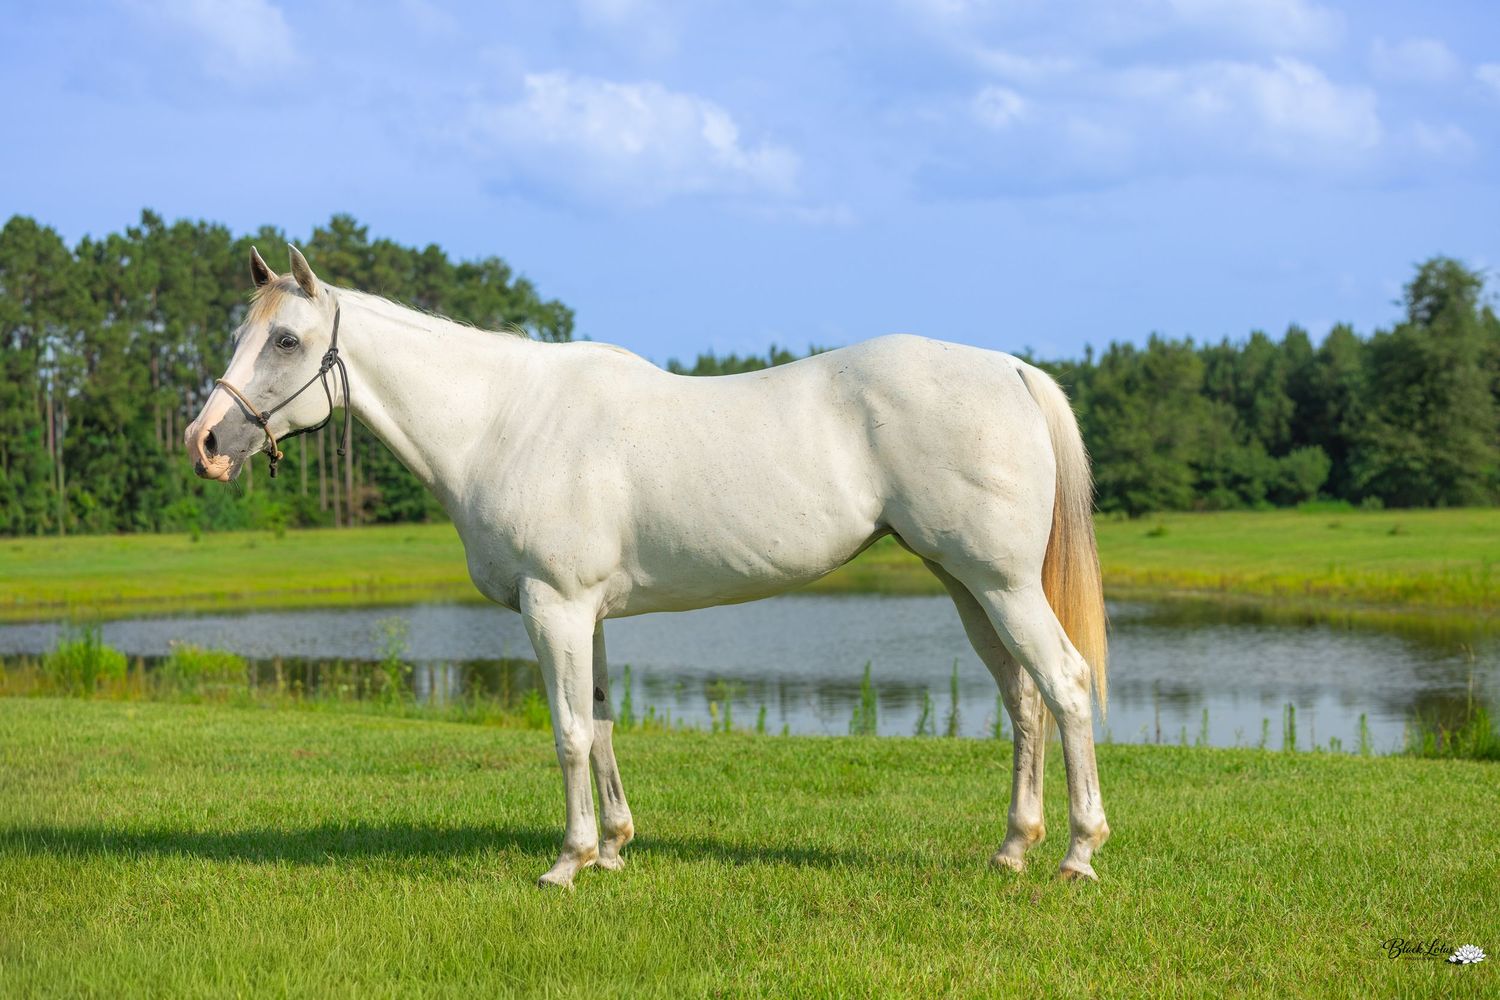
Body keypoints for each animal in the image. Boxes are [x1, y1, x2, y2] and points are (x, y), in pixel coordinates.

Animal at [185, 246, 1111, 888]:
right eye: (239, 334)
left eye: (287, 339)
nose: (205, 443)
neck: (499, 420)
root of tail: (1012, 370)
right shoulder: (586, 615)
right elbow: (599, 725)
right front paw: (614, 851)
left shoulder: (553, 608)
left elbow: (565, 733)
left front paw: (567, 862)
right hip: (967, 587)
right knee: (1023, 700)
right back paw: (1012, 849)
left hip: (1000, 586)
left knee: (1064, 686)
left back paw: (1078, 854)